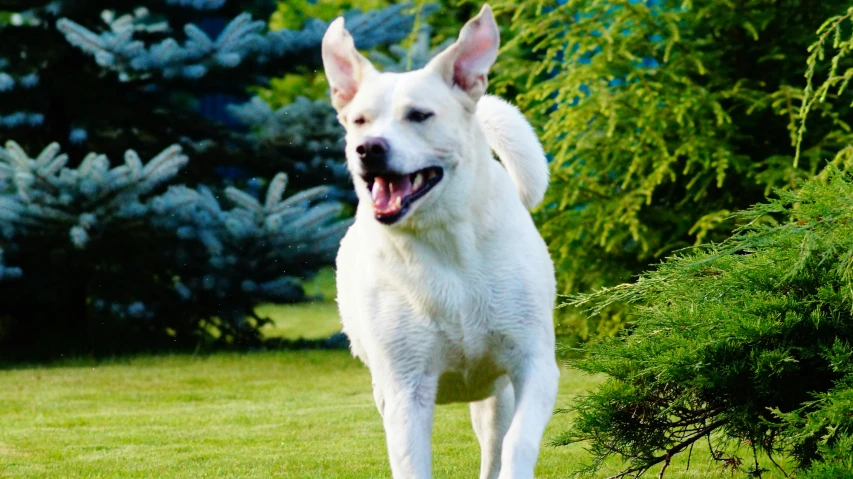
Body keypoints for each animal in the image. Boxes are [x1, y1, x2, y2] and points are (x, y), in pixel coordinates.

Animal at [322, 4, 556, 479]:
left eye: (419, 115)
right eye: (359, 120)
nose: (368, 148)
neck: (445, 246)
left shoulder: (535, 364)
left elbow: (518, 441)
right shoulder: (404, 388)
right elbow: (411, 459)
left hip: (496, 397)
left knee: (494, 442)